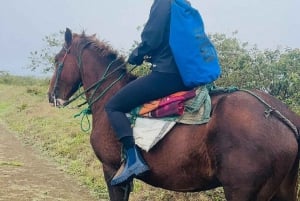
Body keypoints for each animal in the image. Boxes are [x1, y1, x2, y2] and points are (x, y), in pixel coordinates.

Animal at [48, 28, 298, 201]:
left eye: (57, 61)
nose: (52, 96)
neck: (110, 95)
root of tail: (282, 116)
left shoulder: (111, 172)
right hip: (282, 190)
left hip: (243, 191)